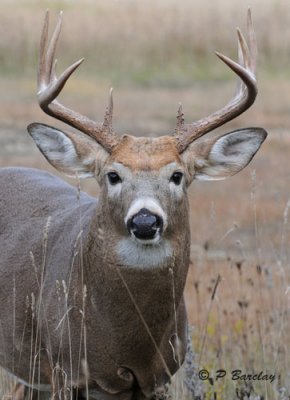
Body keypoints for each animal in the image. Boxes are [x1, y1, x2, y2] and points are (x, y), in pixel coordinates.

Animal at [0, 9, 268, 400]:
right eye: (113, 175)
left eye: (177, 175)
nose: (144, 221)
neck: (128, 342)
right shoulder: (65, 367)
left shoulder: (160, 375)